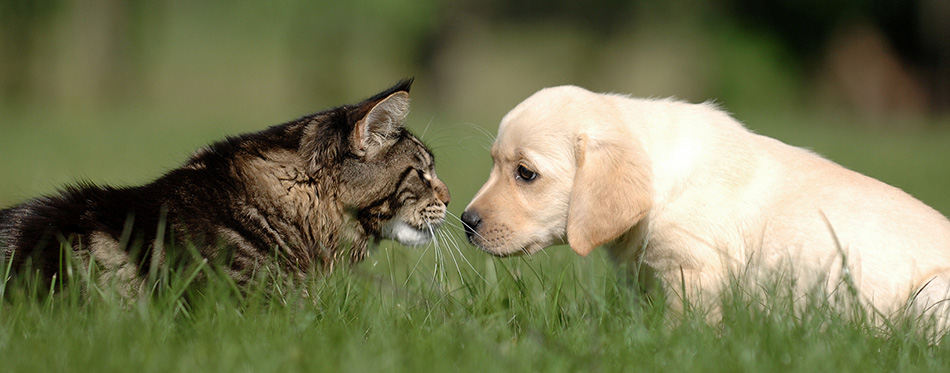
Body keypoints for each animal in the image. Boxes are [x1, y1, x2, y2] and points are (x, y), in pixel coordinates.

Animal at [464, 85, 950, 324]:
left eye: (525, 173)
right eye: (492, 164)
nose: (466, 221)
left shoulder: (693, 273)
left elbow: (685, 331)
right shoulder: (644, 277)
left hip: (931, 297)